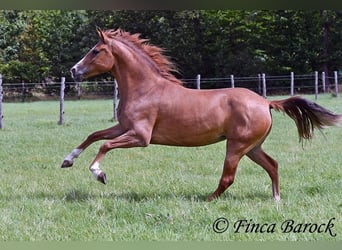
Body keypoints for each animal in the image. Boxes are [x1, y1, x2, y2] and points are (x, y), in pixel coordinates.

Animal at [62, 28, 342, 201]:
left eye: (96, 51)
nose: (74, 71)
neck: (146, 88)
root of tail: (265, 102)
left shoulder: (140, 136)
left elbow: (105, 145)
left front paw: (99, 174)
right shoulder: (123, 127)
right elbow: (93, 135)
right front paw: (67, 160)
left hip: (236, 146)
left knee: (228, 177)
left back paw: (207, 199)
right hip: (252, 147)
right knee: (272, 165)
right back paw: (275, 198)